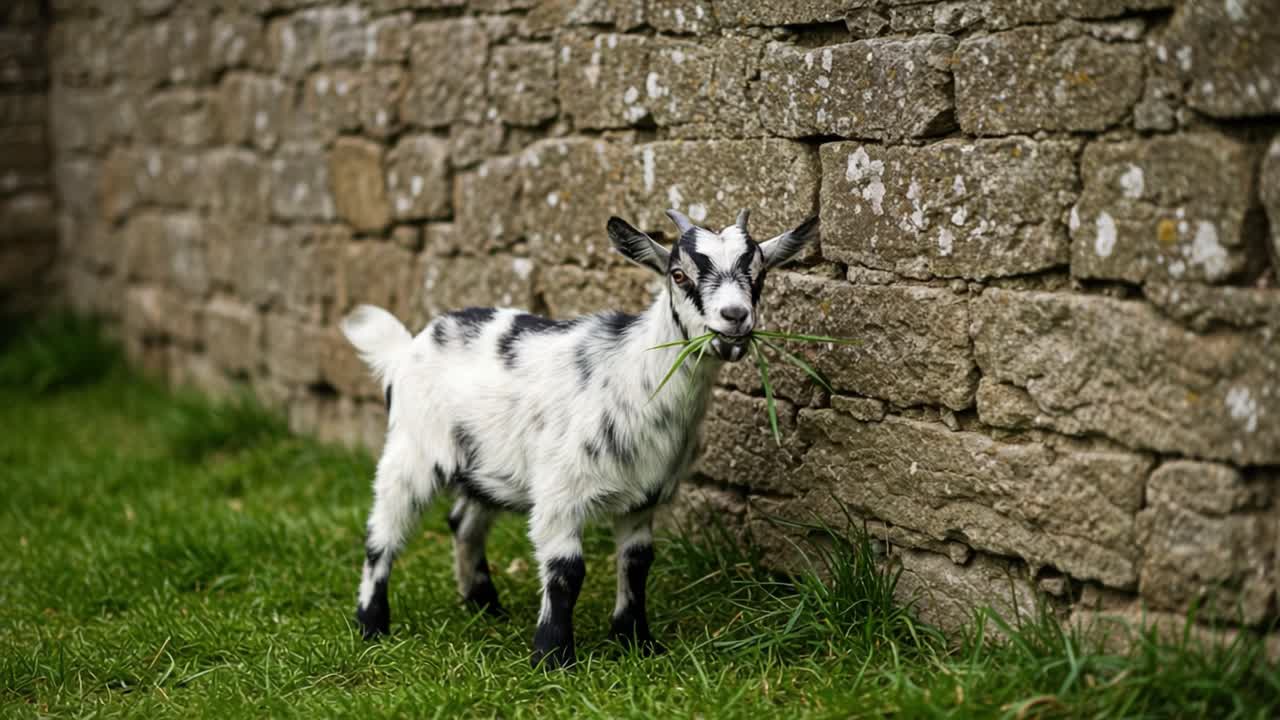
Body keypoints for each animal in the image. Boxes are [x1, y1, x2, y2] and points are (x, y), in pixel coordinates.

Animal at [342, 207, 819, 668]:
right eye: (679, 274)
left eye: (760, 273)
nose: (734, 318)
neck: (633, 375)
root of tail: (406, 350)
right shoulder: (559, 493)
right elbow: (567, 571)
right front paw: (552, 657)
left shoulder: (644, 497)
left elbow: (636, 563)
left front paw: (636, 642)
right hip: (412, 449)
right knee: (381, 532)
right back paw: (371, 625)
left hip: (488, 461)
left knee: (464, 522)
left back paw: (484, 607)